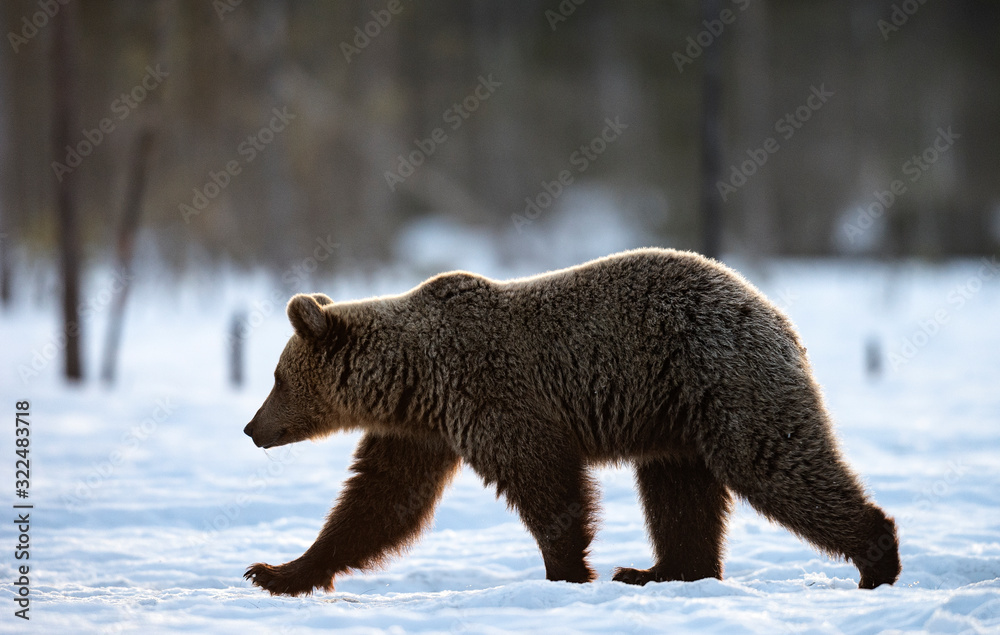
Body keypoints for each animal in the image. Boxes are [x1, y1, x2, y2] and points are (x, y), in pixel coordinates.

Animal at [243, 247, 901, 596]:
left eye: (275, 377)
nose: (251, 428)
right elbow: (378, 504)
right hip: (675, 420)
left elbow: (546, 485)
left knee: (776, 463)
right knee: (680, 494)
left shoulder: (492, 397)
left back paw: (877, 559)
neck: (414, 380)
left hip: (720, 377)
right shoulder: (420, 434)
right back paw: (659, 571)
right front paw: (275, 571)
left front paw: (566, 571)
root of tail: (774, 312)